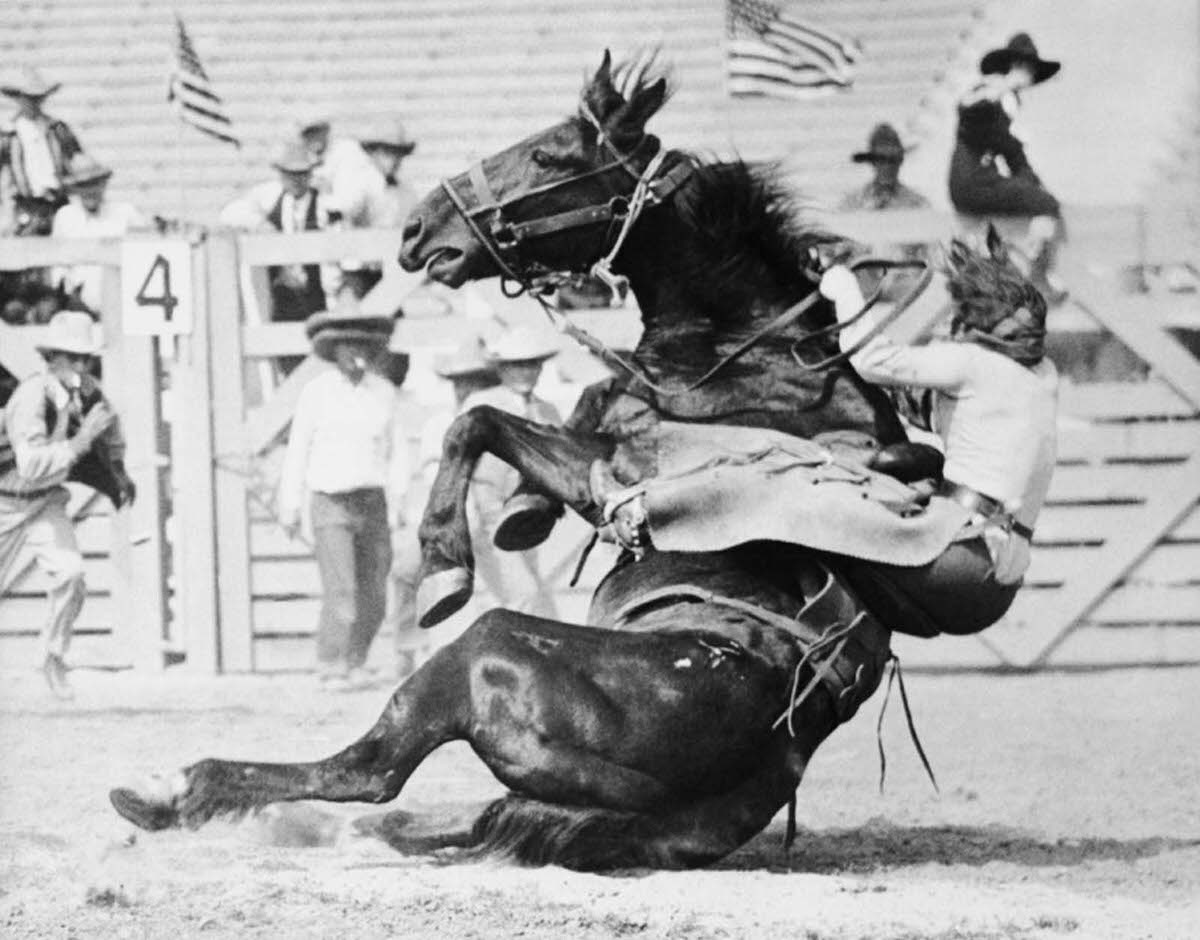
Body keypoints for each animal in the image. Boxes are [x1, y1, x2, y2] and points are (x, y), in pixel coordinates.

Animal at [114, 55, 945, 869]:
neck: (754, 351)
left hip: (484, 652)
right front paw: (521, 510)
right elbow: (545, 414)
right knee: (438, 817)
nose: (417, 226)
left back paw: (177, 789)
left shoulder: (618, 475)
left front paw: (446, 564)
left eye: (549, 155)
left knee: (373, 770)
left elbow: (475, 420)